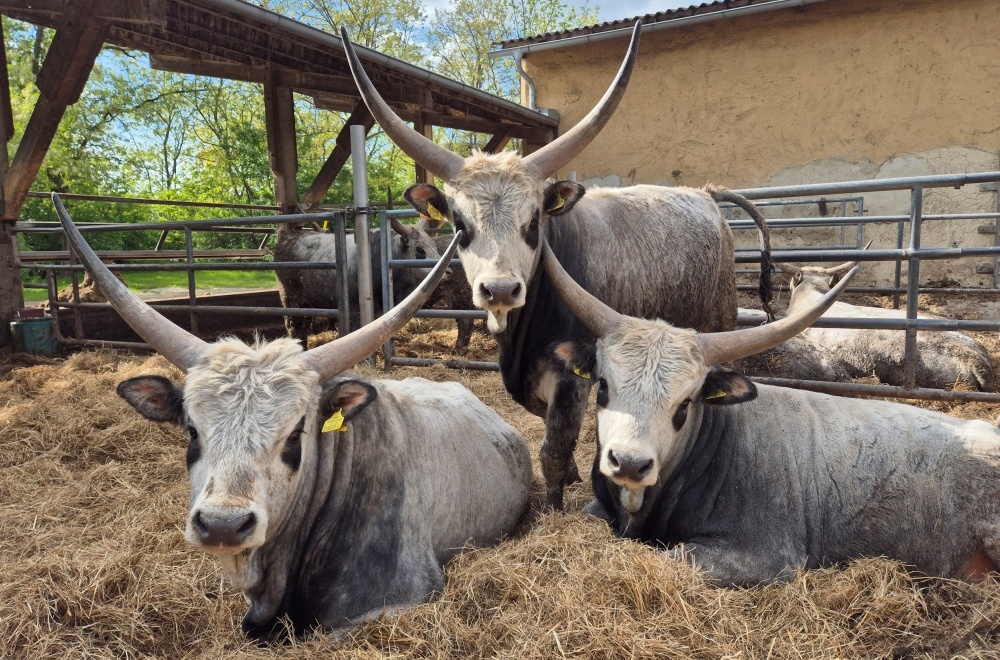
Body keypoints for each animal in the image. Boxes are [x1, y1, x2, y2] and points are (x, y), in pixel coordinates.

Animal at [276, 219, 444, 342]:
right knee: (296, 328)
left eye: (435, 247)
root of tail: (287, 239)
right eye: (420, 250)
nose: (447, 270)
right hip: (292, 301)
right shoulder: (355, 309)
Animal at [340, 19, 776, 506]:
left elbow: (553, 447)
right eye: (459, 224)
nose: (500, 290)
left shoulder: (571, 379)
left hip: (719, 321)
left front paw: (554, 498)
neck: (521, 335)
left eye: (534, 222)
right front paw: (572, 475)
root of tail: (705, 194)